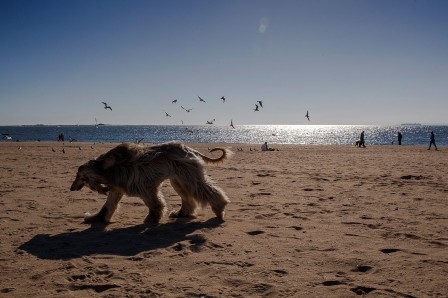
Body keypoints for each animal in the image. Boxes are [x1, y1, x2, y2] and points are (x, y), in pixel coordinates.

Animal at [71, 142, 231, 224]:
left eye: (78, 176)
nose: (71, 188)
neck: (105, 168)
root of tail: (191, 149)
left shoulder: (142, 185)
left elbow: (154, 204)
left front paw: (153, 217)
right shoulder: (118, 188)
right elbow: (107, 206)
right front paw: (95, 218)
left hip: (187, 174)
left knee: (203, 188)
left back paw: (220, 208)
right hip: (178, 179)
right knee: (188, 196)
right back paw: (182, 213)